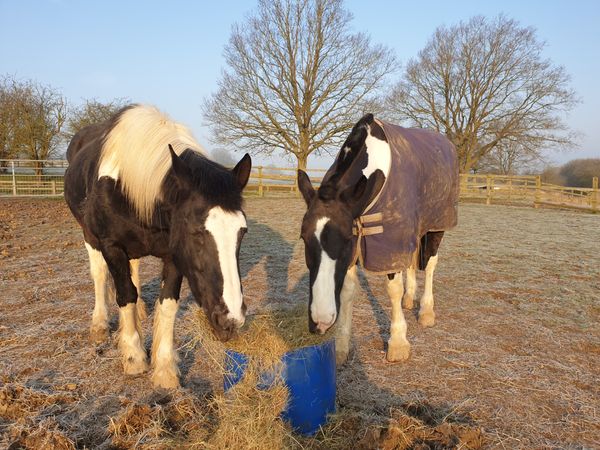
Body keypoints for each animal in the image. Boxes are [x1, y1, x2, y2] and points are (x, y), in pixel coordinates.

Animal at [64, 104, 252, 386]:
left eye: (242, 231)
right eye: (196, 231)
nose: (231, 320)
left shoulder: (174, 254)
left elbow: (167, 303)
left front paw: (164, 369)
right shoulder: (111, 246)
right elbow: (124, 294)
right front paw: (134, 357)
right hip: (89, 236)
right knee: (100, 275)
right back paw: (100, 325)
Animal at [298, 114, 458, 364]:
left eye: (345, 238)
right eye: (303, 237)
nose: (320, 322)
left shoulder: (389, 242)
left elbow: (393, 289)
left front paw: (398, 344)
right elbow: (347, 291)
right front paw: (341, 347)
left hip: (436, 226)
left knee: (431, 264)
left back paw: (426, 312)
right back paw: (410, 299)